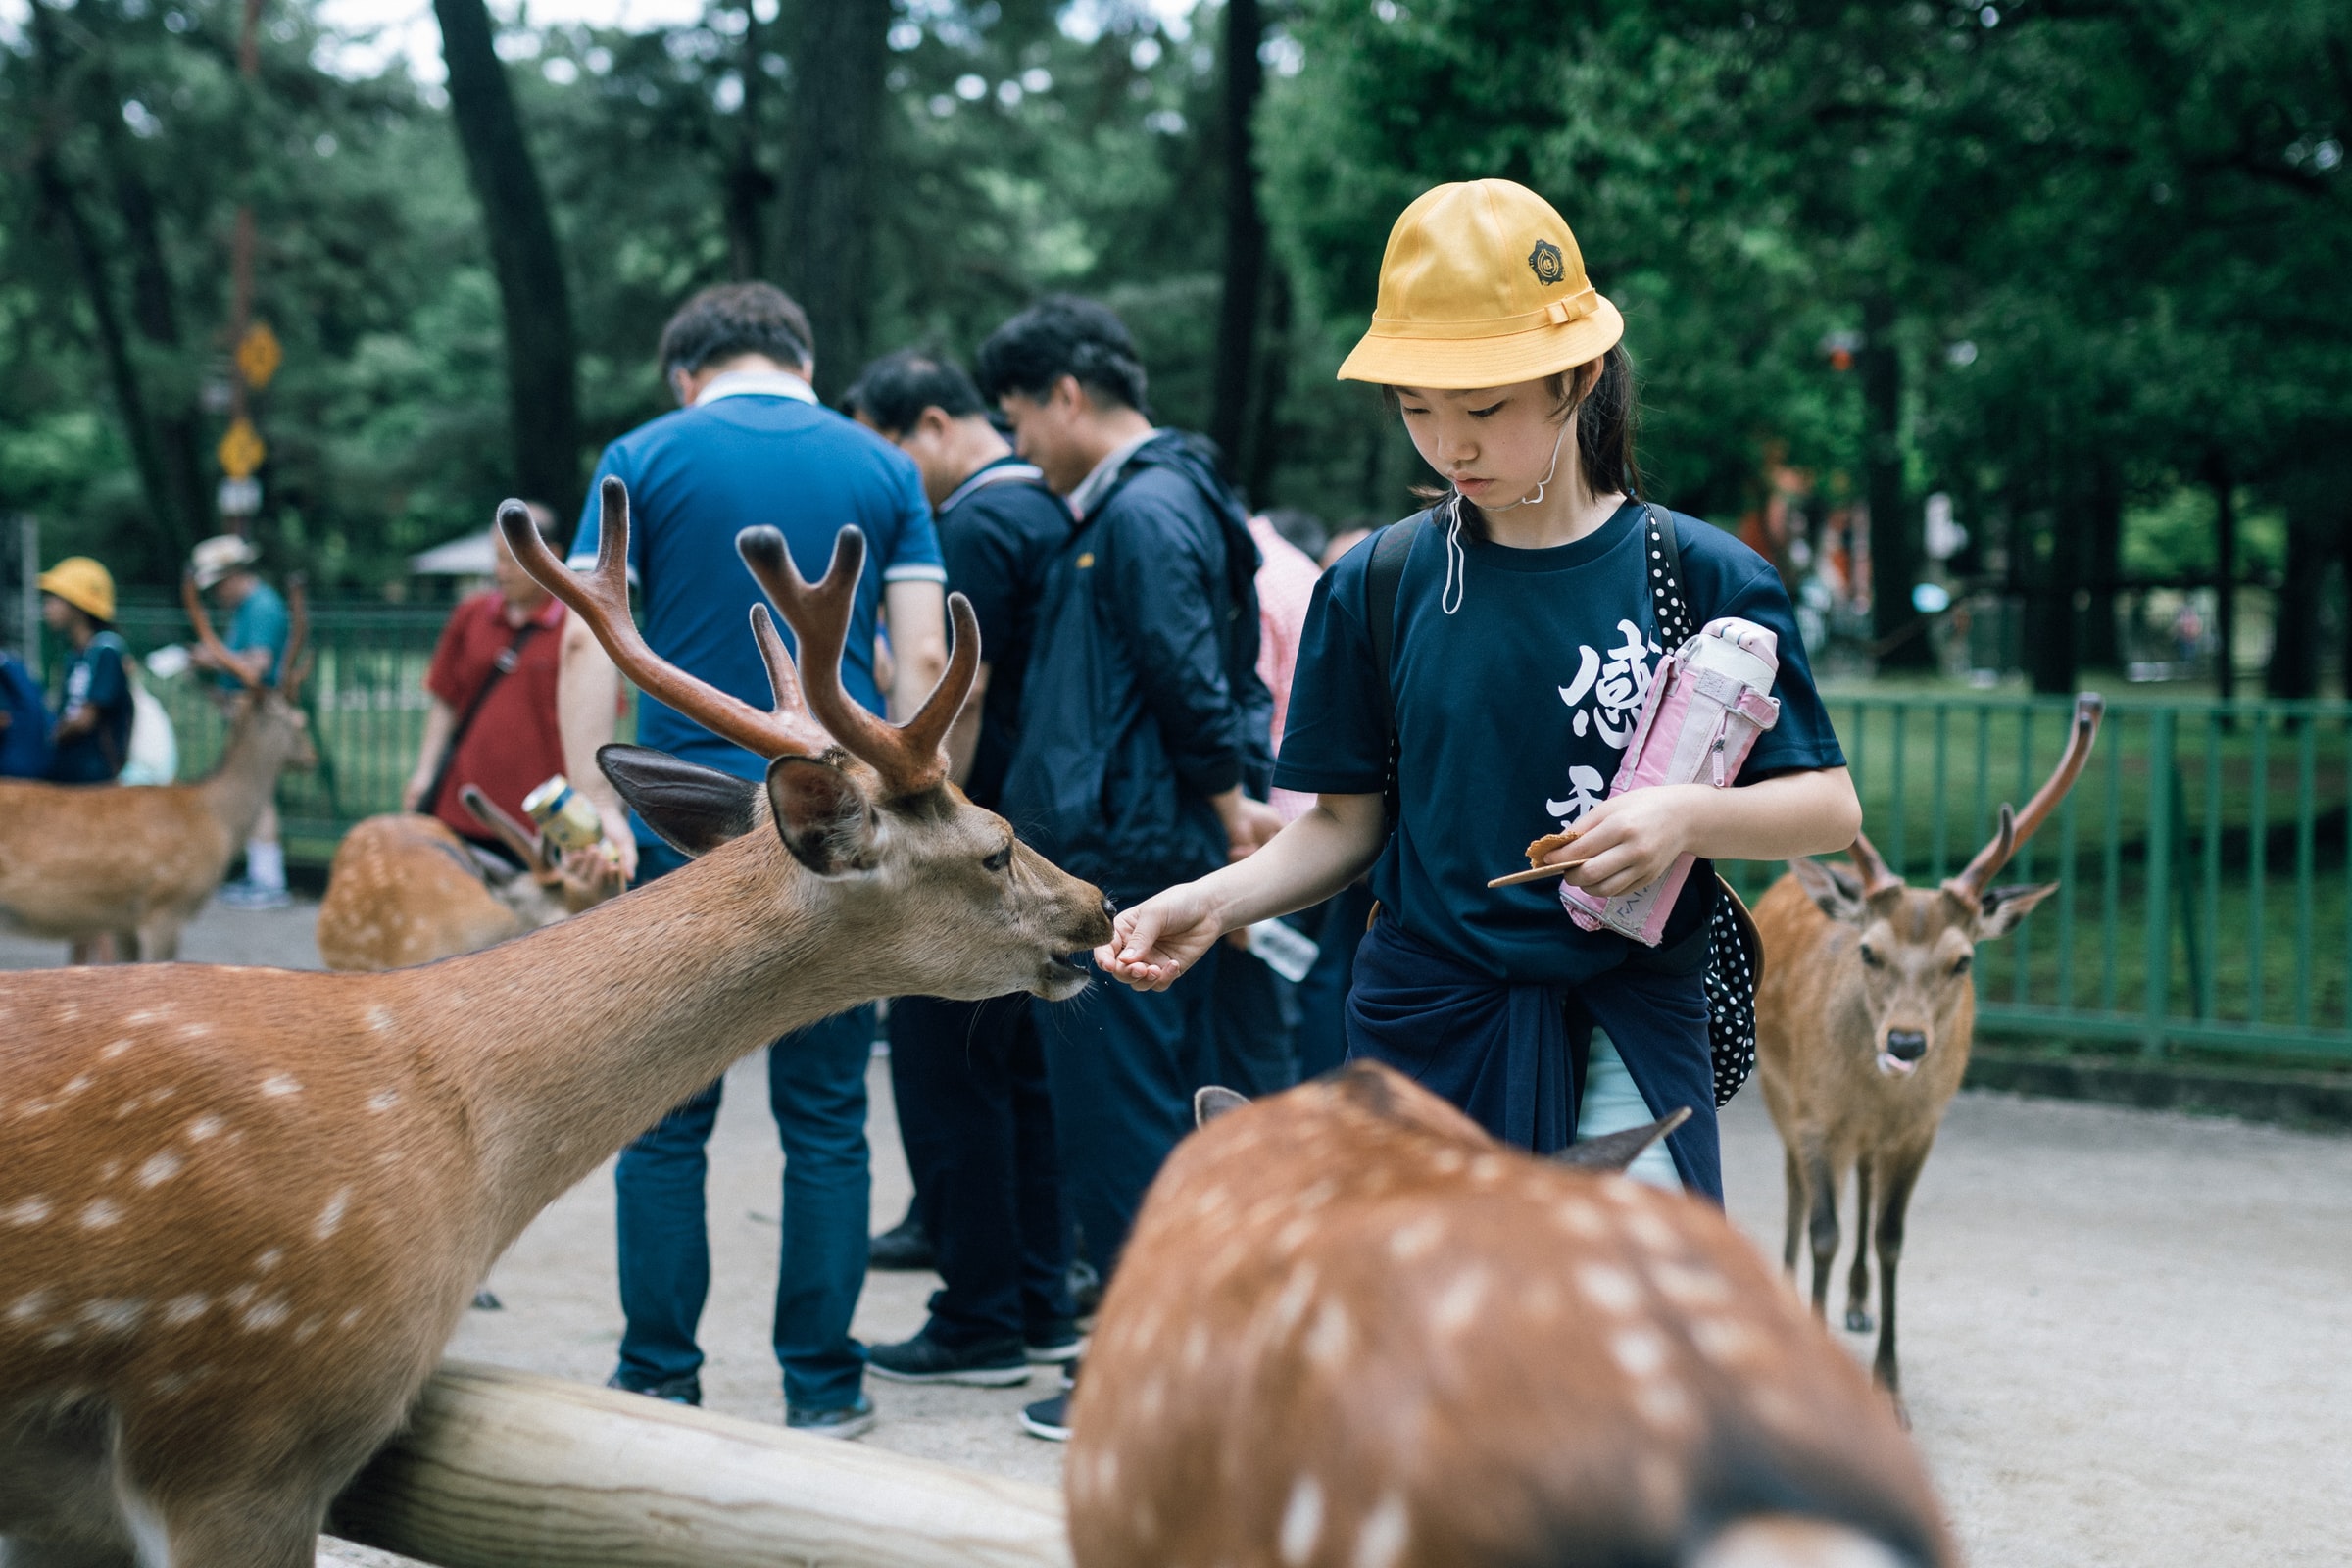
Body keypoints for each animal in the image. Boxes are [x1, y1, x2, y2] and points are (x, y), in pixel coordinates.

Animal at [1759, 691, 2107, 1410]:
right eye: (1869, 952)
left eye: (1962, 960)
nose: (1905, 1041)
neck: (1873, 1094)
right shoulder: (1813, 1114)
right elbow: (1824, 1231)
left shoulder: (1922, 1126)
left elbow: (1891, 1237)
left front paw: (1890, 1387)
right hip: (1778, 1095)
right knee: (1797, 1192)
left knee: (1863, 1186)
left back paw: (1857, 1302)